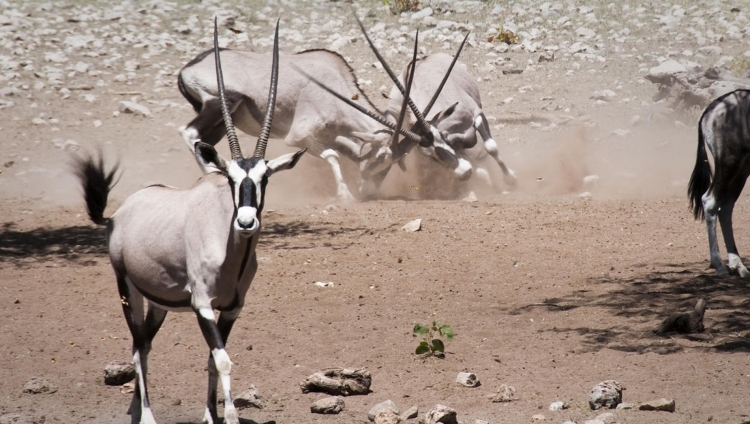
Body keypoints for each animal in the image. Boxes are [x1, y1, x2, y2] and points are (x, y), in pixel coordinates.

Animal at [72, 20, 302, 424]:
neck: (229, 250)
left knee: (145, 343)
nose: (246, 223)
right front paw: (229, 417)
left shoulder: (232, 308)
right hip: (126, 288)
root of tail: (116, 215)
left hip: (158, 303)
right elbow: (223, 360)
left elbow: (212, 360)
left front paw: (211, 415)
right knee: (137, 347)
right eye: (230, 179)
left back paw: (137, 408)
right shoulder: (203, 305)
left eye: (265, 178)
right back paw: (147, 416)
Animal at [178, 24, 470, 200]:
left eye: (446, 139)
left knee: (202, 140)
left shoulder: (333, 135)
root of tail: (188, 68)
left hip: (219, 121)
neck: (334, 87)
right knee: (188, 131)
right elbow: (332, 156)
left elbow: (340, 152)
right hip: (219, 105)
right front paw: (345, 194)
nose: (369, 192)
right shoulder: (299, 137)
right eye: (381, 165)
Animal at [692, 88, 750, 276]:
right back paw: (719, 265)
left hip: (742, 169)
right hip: (729, 162)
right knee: (710, 201)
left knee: (725, 206)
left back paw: (738, 265)